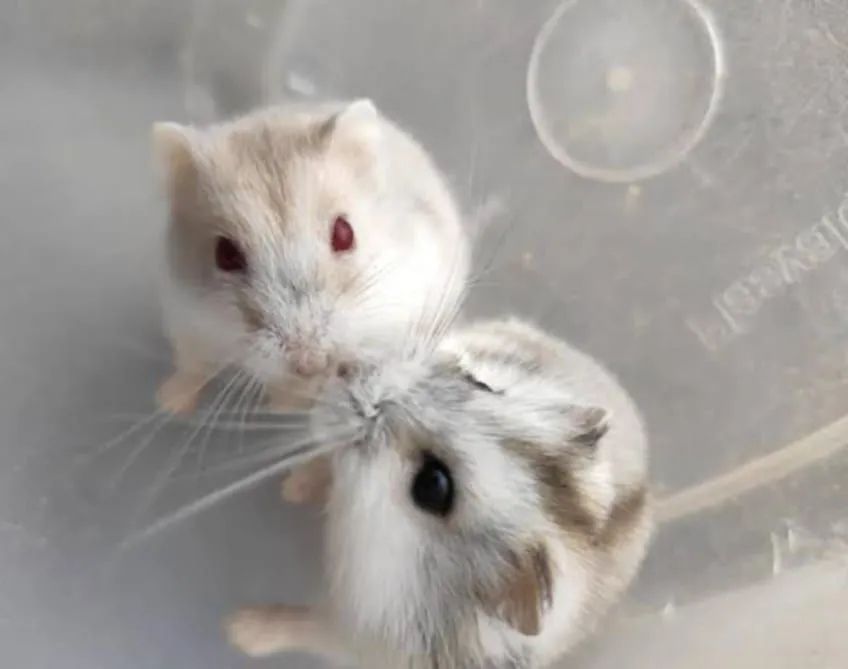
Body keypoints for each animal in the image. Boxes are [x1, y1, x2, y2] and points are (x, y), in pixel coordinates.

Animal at [150, 99, 469, 416]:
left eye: (345, 233)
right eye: (225, 255)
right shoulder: (187, 318)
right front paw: (170, 405)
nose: (310, 363)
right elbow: (193, 365)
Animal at [227, 318, 652, 669]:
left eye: (432, 485)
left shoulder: (359, 634)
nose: (346, 367)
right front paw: (293, 487)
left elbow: (304, 624)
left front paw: (237, 628)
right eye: (481, 383)